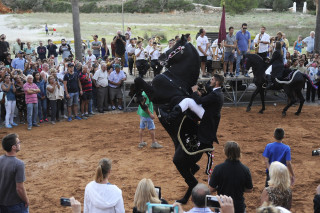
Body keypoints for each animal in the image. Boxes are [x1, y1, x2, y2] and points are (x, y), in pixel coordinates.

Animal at [134, 35, 214, 205]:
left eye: (176, 46)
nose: (160, 58)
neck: (176, 80)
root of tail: (207, 149)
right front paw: (139, 99)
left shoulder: (155, 93)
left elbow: (138, 80)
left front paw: (140, 100)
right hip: (187, 163)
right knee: (194, 172)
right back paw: (182, 199)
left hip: (180, 161)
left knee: (193, 181)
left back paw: (183, 200)